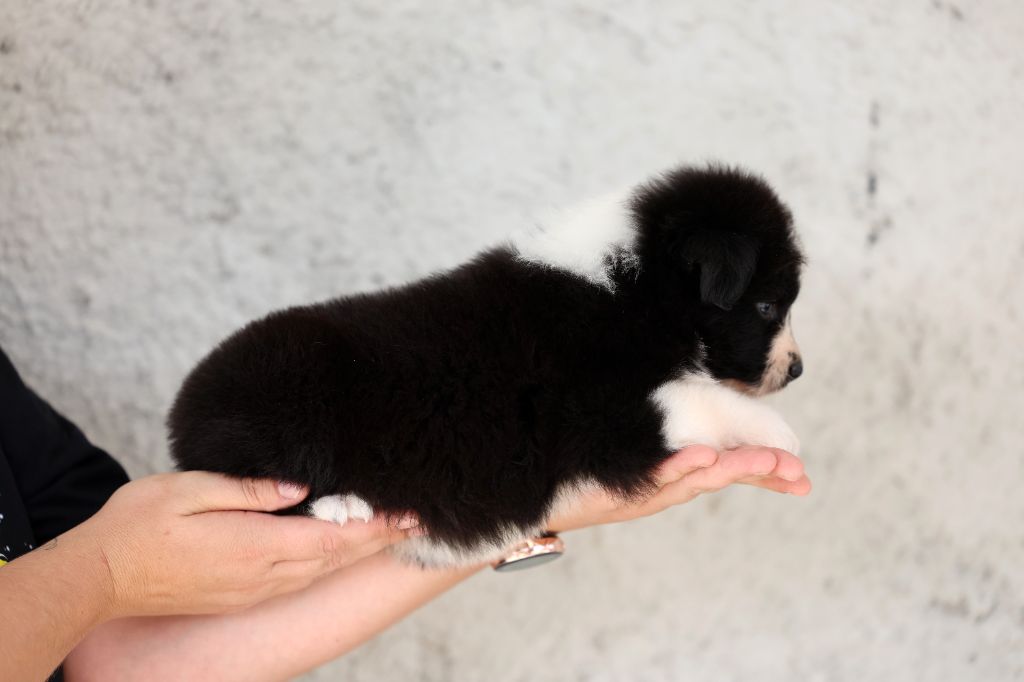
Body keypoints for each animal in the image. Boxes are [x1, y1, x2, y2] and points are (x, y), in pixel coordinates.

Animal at [168, 164, 805, 567]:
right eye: (768, 306)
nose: (798, 370)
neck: (633, 286)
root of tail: (182, 415)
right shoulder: (603, 414)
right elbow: (700, 399)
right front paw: (782, 433)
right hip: (287, 391)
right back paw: (340, 505)